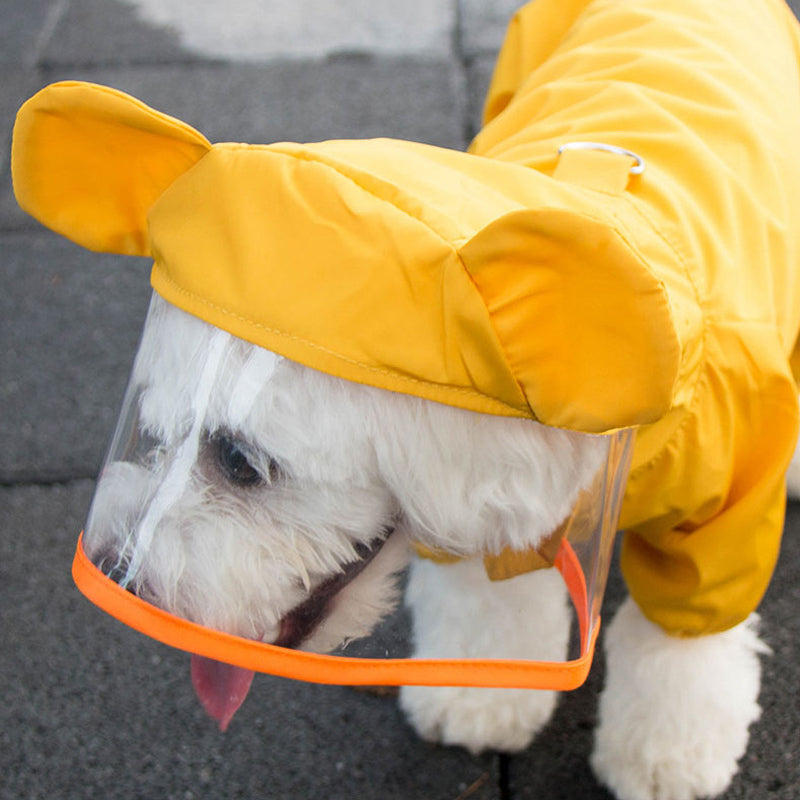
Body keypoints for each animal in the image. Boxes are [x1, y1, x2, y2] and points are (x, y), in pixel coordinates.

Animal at [83, 294, 776, 800]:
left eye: (239, 461)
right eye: (156, 434)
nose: (114, 570)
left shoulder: (723, 518)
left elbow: (682, 639)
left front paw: (667, 755)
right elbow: (491, 603)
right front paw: (479, 696)